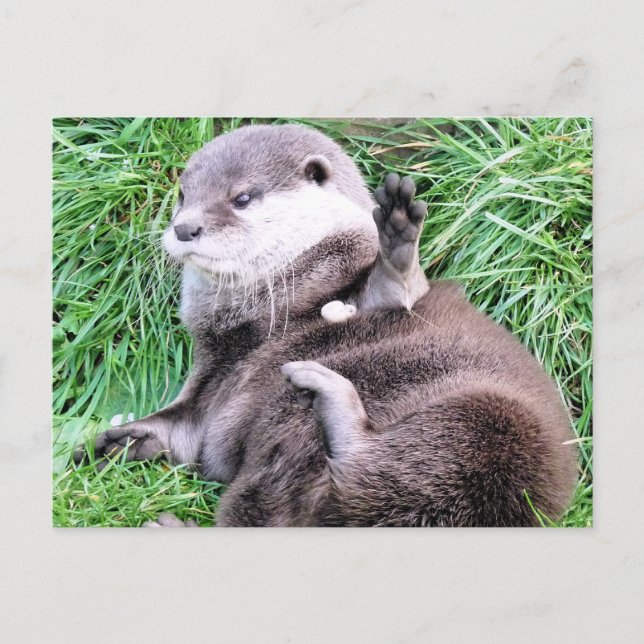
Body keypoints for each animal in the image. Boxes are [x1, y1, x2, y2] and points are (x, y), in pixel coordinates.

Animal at [76, 123, 577, 527]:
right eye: (183, 195)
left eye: (242, 197)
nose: (185, 228)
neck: (262, 320)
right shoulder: (212, 374)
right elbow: (185, 430)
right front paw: (123, 440)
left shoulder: (358, 291)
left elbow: (395, 291)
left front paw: (397, 238)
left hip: (490, 430)